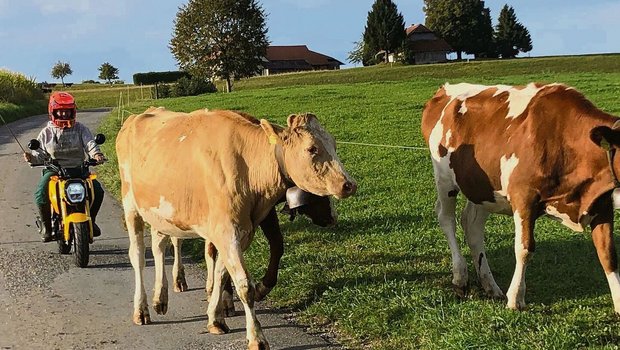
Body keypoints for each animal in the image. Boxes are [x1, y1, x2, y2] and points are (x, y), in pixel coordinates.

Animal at [117, 107, 356, 350]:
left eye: (333, 143)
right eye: (312, 148)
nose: (349, 185)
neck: (248, 166)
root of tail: (142, 113)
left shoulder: (240, 233)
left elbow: (222, 274)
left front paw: (216, 318)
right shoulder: (226, 231)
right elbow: (244, 285)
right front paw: (256, 337)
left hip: (161, 213)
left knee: (159, 246)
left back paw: (160, 298)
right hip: (131, 205)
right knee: (138, 255)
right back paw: (141, 310)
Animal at [424, 83, 620, 314]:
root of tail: (444, 89)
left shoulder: (602, 203)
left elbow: (608, 253)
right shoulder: (523, 198)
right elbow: (524, 248)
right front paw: (515, 298)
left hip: (481, 188)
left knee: (472, 226)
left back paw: (490, 285)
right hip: (445, 180)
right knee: (447, 220)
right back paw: (460, 277)